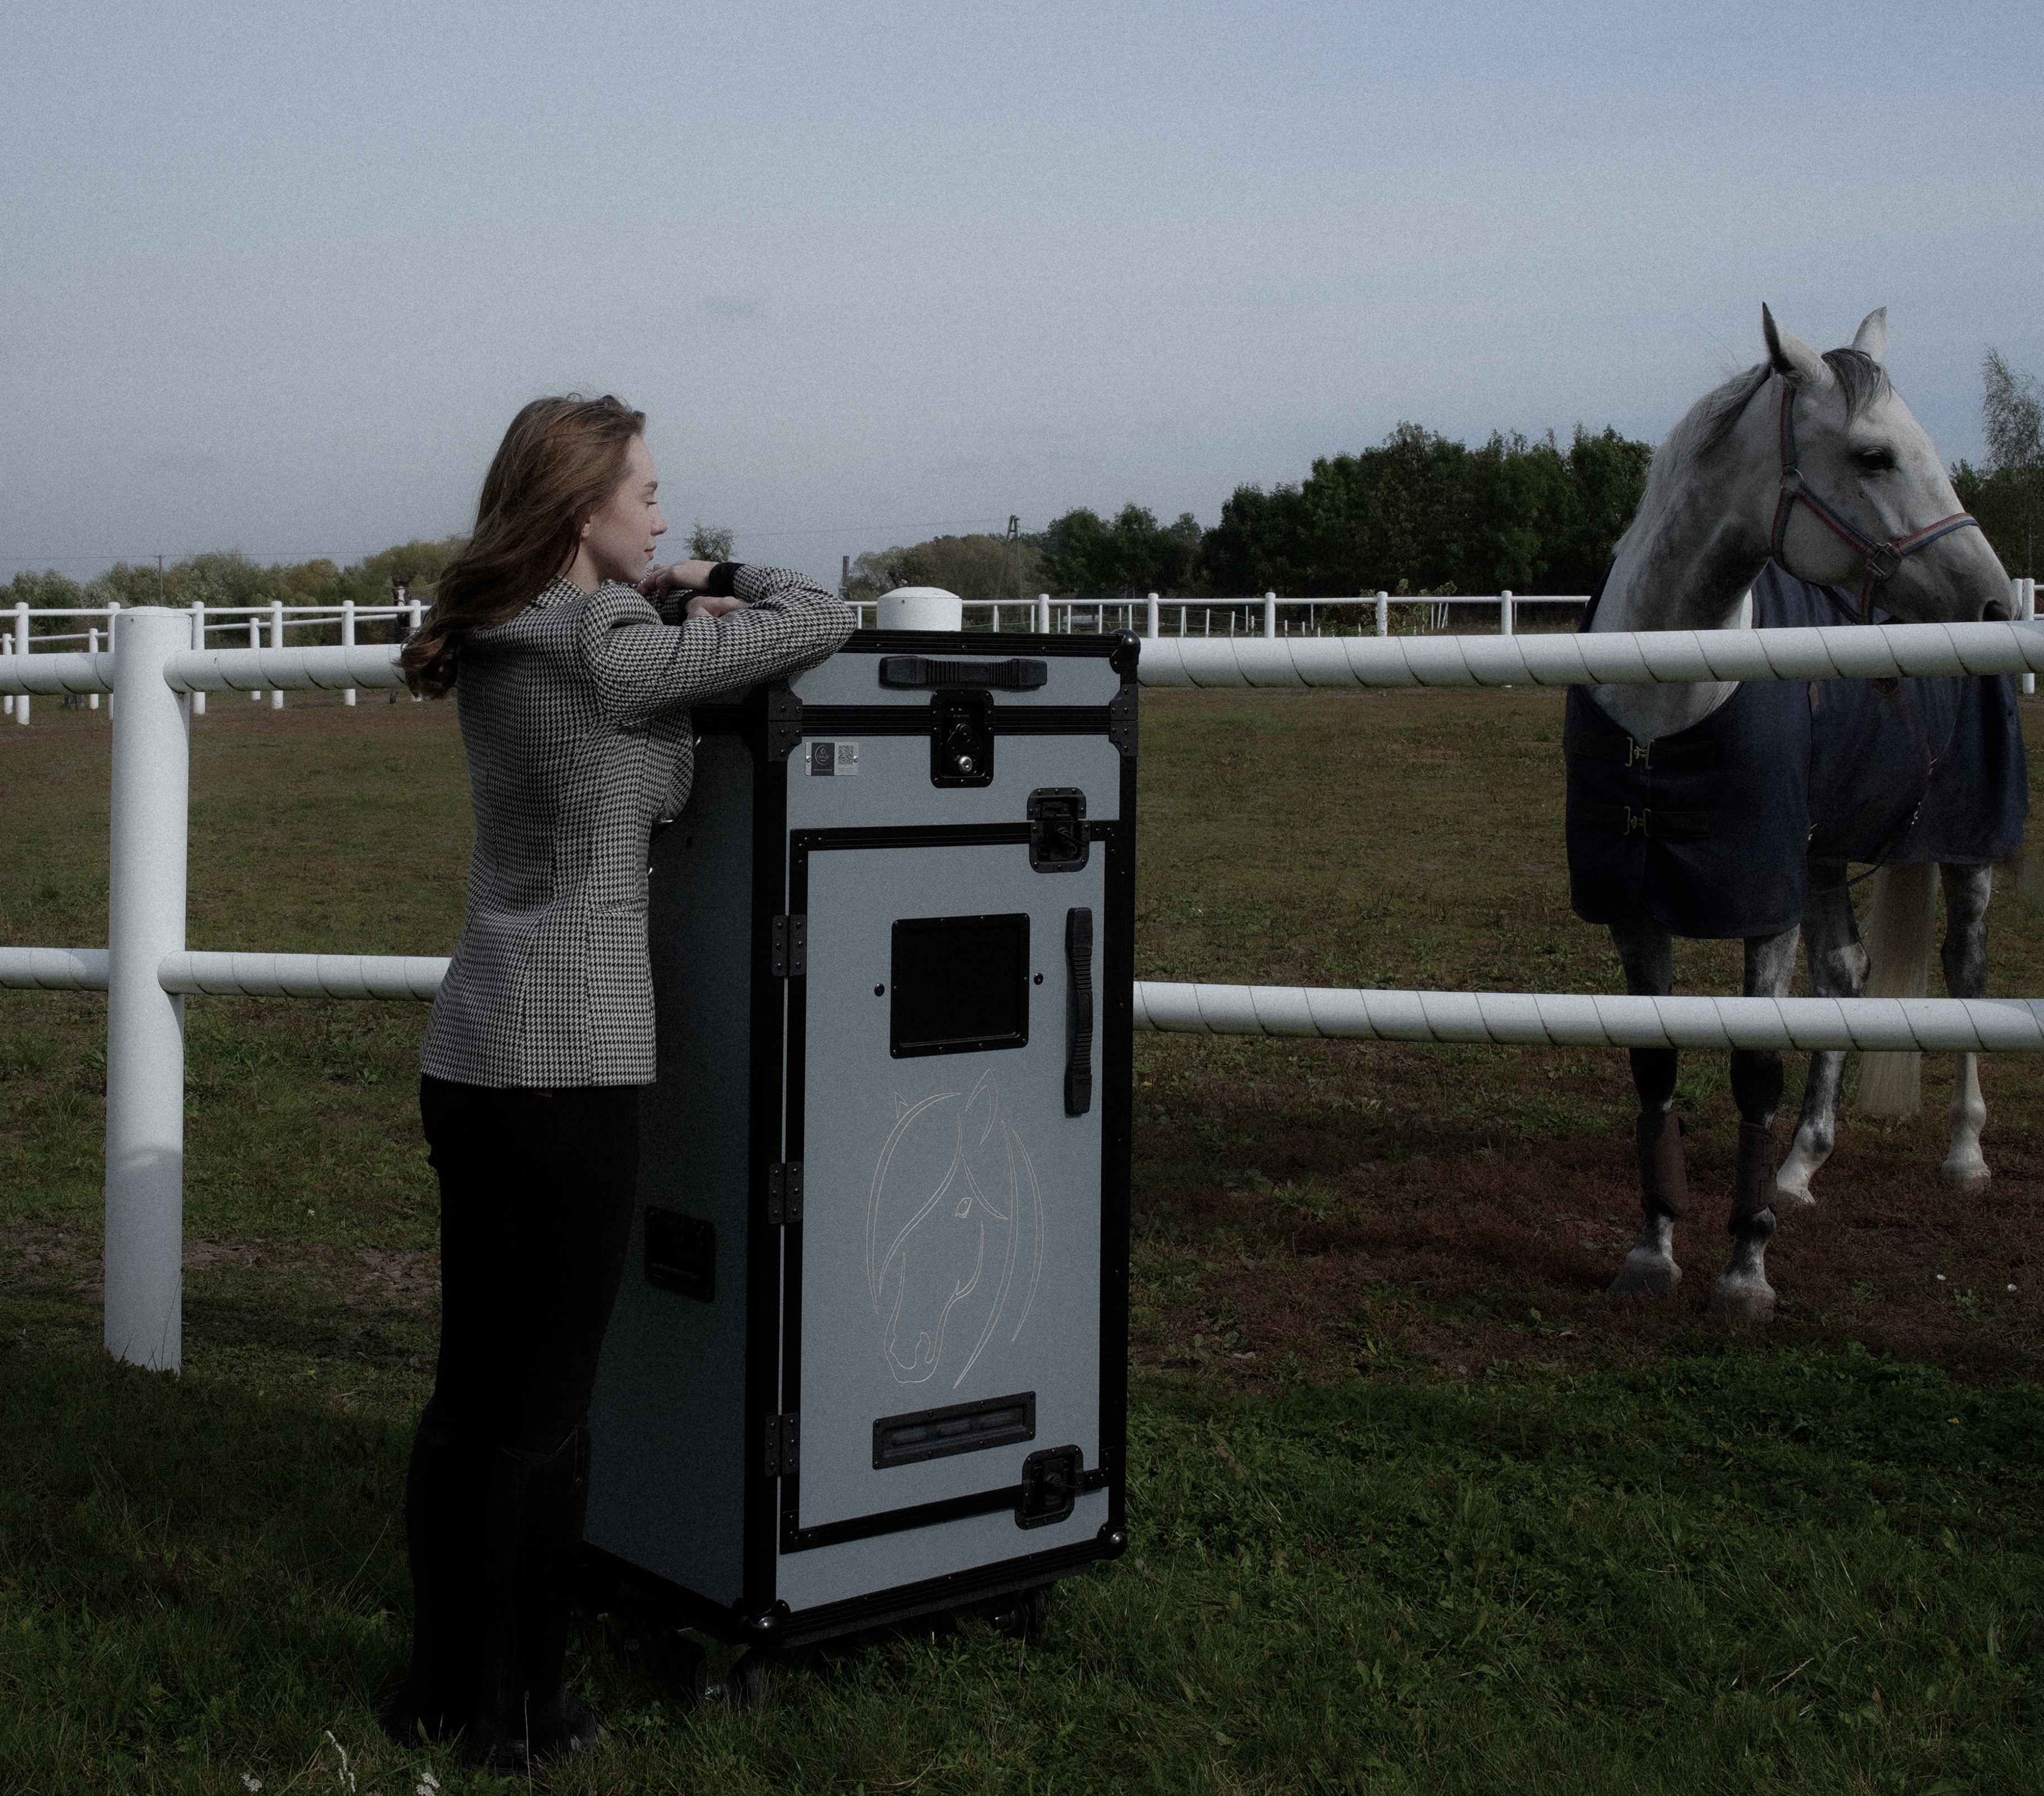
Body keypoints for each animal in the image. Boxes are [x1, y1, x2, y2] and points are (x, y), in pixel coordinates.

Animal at [1564, 306, 2014, 1323]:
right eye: (1874, 455)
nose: (1993, 601)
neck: (1667, 693)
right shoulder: (1636, 903)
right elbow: (1656, 1065)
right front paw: (1653, 1249)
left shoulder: (1759, 899)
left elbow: (1754, 1068)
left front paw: (1744, 1271)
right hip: (1824, 853)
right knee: (1845, 974)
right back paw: (1800, 1166)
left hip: (1966, 848)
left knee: (1965, 972)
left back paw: (1963, 1154)